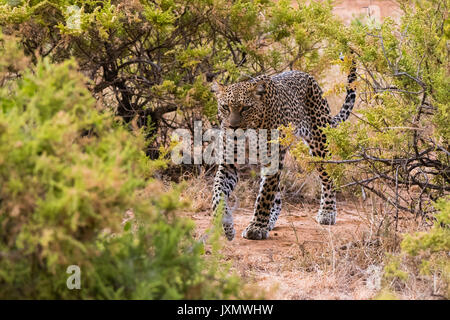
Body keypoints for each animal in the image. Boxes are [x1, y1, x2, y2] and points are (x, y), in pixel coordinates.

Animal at [210, 59, 356, 240]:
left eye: (246, 108)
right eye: (225, 107)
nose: (233, 127)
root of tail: (307, 76)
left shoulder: (272, 160)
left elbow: (264, 196)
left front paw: (256, 228)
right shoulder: (229, 164)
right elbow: (217, 192)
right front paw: (226, 226)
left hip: (319, 144)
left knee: (327, 179)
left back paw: (327, 212)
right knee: (277, 196)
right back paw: (270, 221)